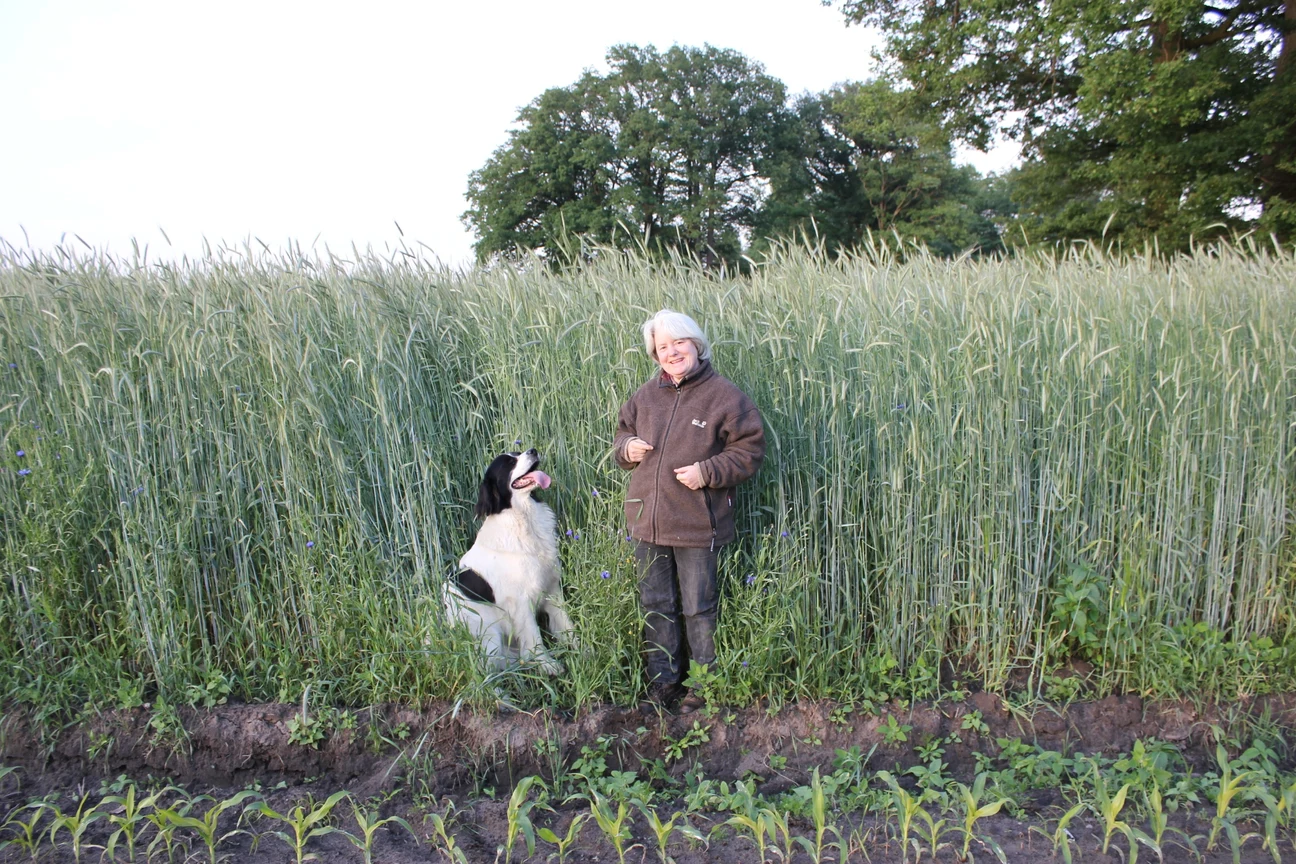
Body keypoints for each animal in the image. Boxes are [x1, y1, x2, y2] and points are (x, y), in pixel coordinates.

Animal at [448, 450, 575, 678]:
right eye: (509, 463)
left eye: (518, 453)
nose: (533, 450)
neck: (524, 518)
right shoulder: (520, 602)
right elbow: (534, 637)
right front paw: (547, 665)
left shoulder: (551, 588)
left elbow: (566, 624)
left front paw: (586, 650)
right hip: (487, 630)